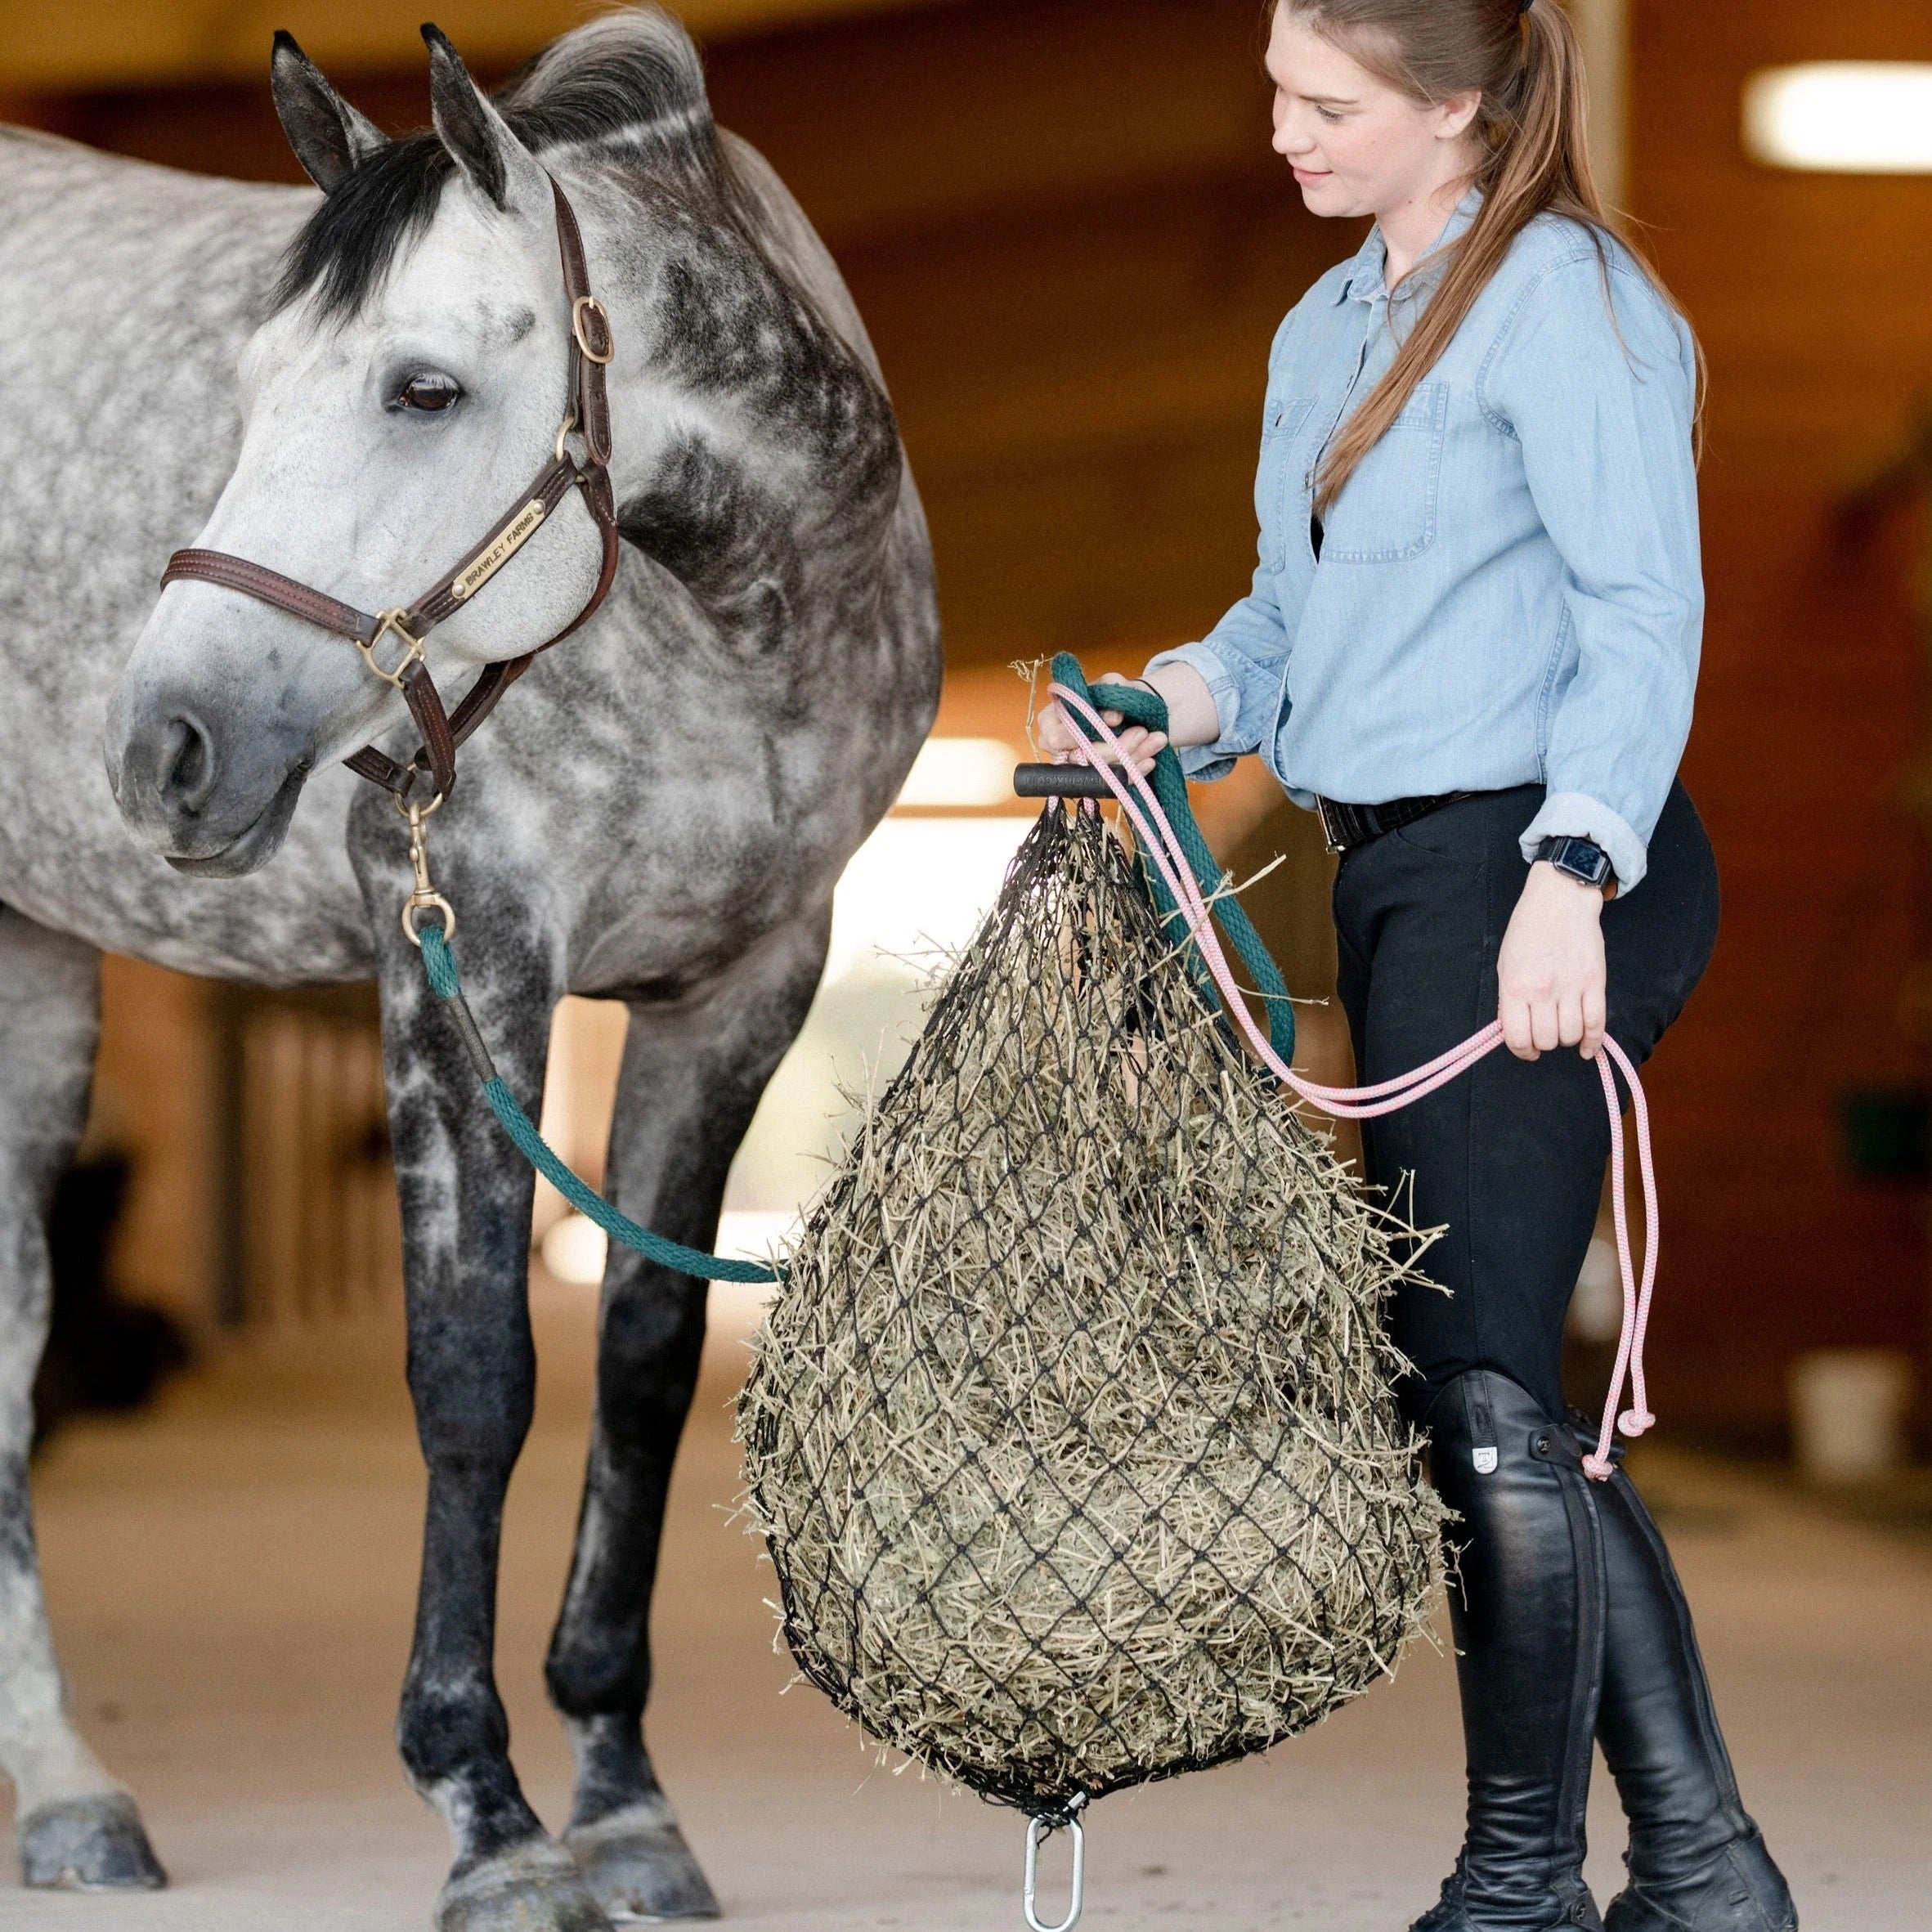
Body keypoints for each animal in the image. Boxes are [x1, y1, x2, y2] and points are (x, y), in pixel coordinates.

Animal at [0, 10, 940, 1927]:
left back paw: (65, 1797)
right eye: (249, 383)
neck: (729, 634)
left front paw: (629, 1805)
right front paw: (490, 1820)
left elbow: (644, 1366)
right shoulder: (464, 954)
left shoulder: (743, 985)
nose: (166, 749)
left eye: (420, 389)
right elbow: (472, 1376)